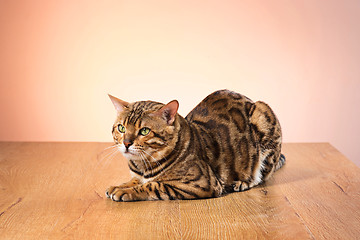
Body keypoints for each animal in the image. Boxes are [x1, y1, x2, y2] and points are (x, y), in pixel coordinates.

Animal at [105, 89, 286, 202]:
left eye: (144, 131)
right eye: (121, 128)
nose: (126, 143)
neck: (142, 164)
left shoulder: (201, 183)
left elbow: (153, 185)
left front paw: (124, 191)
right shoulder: (137, 175)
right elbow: (134, 181)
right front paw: (119, 186)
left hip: (263, 115)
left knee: (260, 176)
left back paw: (242, 183)